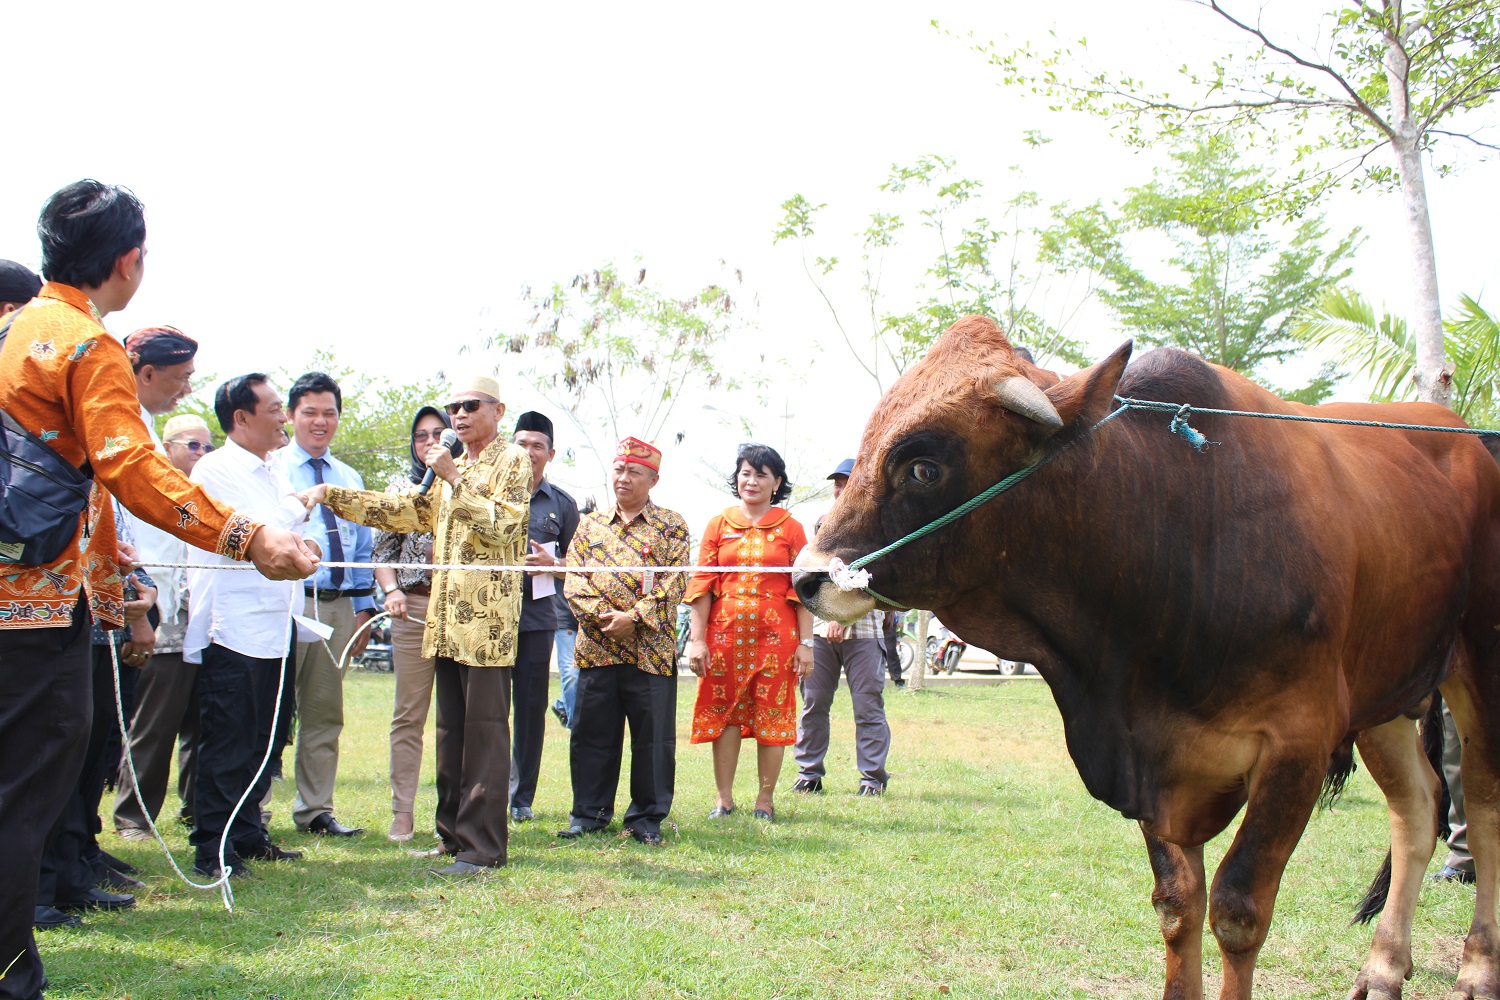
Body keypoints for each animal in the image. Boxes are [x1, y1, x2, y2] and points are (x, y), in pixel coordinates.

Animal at [804, 316, 1500, 995]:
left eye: (923, 467)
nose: (808, 578)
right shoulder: (1156, 767)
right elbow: (1178, 903)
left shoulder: (1296, 746)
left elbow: (1237, 909)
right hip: (1389, 696)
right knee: (1418, 809)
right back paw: (1383, 970)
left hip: (1478, 668)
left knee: (1482, 800)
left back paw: (1476, 969)